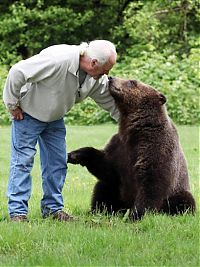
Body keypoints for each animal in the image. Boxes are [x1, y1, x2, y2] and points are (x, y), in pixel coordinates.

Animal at [68, 76, 196, 221]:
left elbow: (153, 183)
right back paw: (97, 211)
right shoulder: (120, 146)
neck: (135, 130)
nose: (111, 78)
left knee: (183, 201)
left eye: (132, 82)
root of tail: (126, 204)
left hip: (178, 191)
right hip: (117, 192)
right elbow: (107, 166)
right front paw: (74, 155)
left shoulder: (156, 147)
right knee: (103, 189)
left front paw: (136, 215)